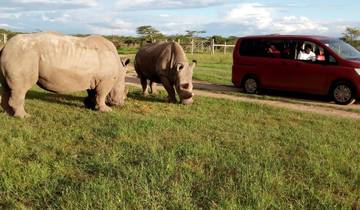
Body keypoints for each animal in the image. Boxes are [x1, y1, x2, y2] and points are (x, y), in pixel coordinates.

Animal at [0, 32, 129, 118]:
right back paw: (24, 116)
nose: (121, 105)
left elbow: (93, 93)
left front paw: (90, 106)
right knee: (20, 88)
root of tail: (5, 46)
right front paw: (106, 110)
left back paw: (8, 114)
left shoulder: (93, 78)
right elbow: (101, 95)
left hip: (16, 54)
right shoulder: (105, 80)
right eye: (123, 91)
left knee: (7, 87)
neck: (119, 70)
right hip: (23, 54)